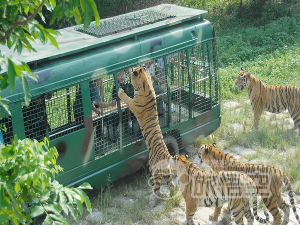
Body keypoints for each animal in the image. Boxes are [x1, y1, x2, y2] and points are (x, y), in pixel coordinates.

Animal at [118, 66, 176, 207]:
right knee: (171, 186)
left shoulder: (134, 104)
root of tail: (167, 156)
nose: (128, 71)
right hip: (167, 173)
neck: (145, 84)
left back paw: (153, 203)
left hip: (155, 172)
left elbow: (127, 99)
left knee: (157, 189)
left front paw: (120, 92)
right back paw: (172, 197)